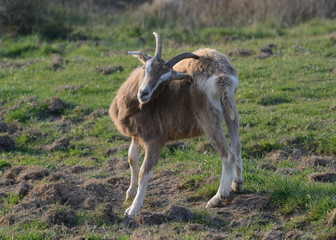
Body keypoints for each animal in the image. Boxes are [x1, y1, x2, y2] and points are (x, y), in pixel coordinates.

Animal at [110, 32, 244, 216]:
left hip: (209, 119)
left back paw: (217, 198)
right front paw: (130, 194)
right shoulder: (138, 135)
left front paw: (133, 209)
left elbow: (145, 171)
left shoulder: (154, 138)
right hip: (230, 109)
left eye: (166, 80)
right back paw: (237, 184)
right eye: (146, 68)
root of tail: (221, 75)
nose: (144, 93)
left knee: (227, 155)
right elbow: (132, 158)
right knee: (237, 146)